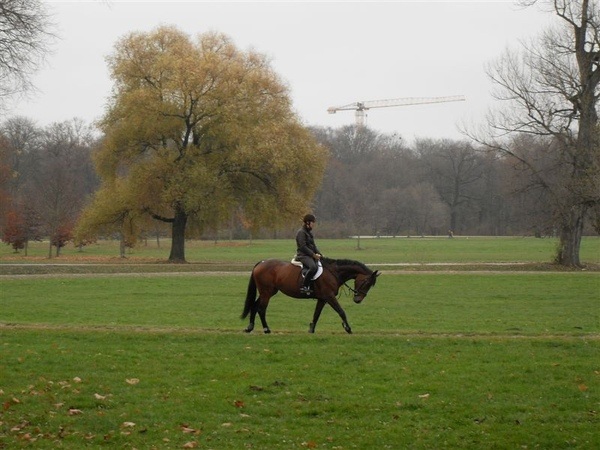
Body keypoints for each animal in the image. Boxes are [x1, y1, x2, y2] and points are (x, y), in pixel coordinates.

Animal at [240, 256, 378, 334]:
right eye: (366, 282)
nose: (358, 299)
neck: (333, 272)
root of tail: (261, 263)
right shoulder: (329, 297)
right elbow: (341, 311)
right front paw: (347, 328)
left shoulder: (323, 299)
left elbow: (316, 314)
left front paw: (311, 329)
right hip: (267, 293)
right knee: (261, 309)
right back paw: (266, 329)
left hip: (268, 292)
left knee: (254, 306)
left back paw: (249, 327)